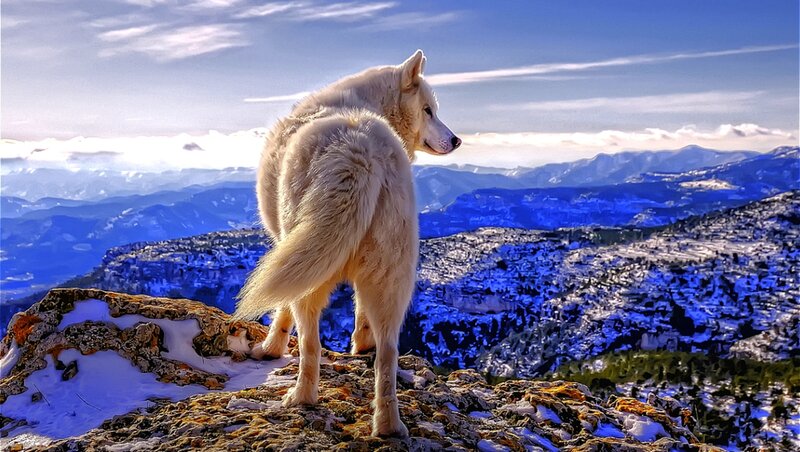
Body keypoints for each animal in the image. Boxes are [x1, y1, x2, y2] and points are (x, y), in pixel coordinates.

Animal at [234, 50, 460, 437]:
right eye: (428, 110)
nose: (457, 140)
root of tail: (360, 152)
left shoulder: (287, 244)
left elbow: (281, 311)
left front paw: (269, 348)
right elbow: (359, 313)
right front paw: (360, 344)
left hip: (312, 266)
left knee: (311, 343)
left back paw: (301, 397)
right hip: (391, 274)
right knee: (388, 352)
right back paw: (387, 425)